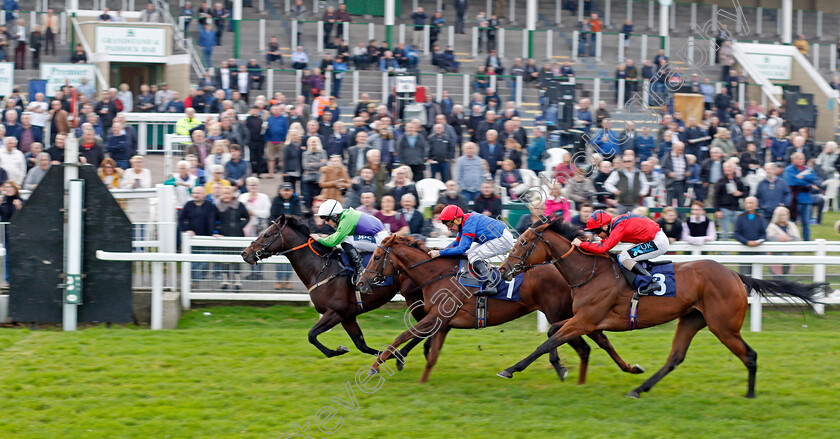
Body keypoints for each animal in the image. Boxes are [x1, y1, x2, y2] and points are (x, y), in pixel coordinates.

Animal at [360, 235, 644, 384]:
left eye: (376, 257)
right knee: (592, 342)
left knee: (583, 344)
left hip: (565, 314)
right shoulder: (442, 322)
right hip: (576, 315)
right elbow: (430, 354)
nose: (360, 282)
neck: (438, 274)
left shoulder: (436, 317)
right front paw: (420, 381)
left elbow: (403, 336)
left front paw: (376, 365)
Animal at [496, 219, 824, 398]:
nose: (504, 269)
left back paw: (750, 394)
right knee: (675, 358)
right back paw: (639, 389)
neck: (589, 272)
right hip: (691, 319)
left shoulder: (586, 319)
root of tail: (735, 275)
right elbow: (553, 333)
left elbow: (548, 341)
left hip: (723, 326)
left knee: (750, 355)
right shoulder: (584, 320)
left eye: (523, 242)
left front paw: (510, 369)